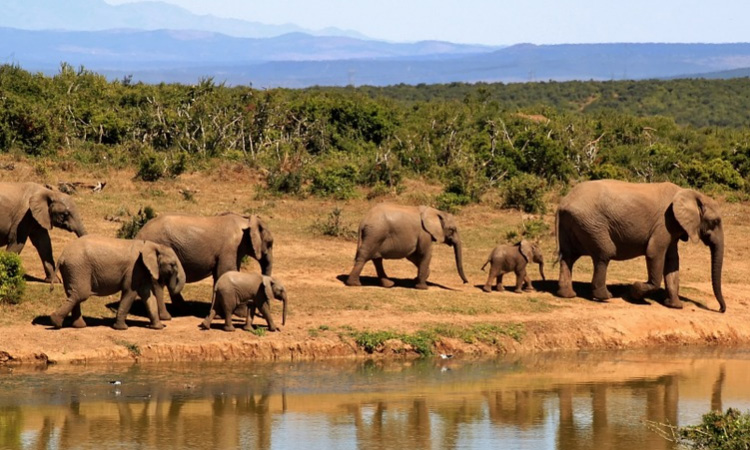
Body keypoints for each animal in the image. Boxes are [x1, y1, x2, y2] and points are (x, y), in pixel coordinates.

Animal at [50, 236, 187, 330]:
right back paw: (55, 322)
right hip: (78, 268)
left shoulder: (141, 270)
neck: (152, 245)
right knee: (80, 294)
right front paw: (122, 328)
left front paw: (158, 328)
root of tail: (62, 256)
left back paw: (79, 326)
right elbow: (130, 292)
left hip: (72, 270)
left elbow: (148, 296)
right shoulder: (134, 269)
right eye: (172, 265)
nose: (166, 324)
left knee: (74, 294)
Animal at [137, 212, 274, 320]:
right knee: (158, 282)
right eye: (270, 243)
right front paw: (240, 314)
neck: (246, 220)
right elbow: (226, 271)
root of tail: (139, 233)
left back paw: (184, 309)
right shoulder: (230, 248)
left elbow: (220, 275)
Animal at [560, 179, 728, 312]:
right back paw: (605, 297)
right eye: (715, 222)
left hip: (575, 223)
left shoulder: (673, 227)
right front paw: (634, 292)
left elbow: (672, 261)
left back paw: (568, 295)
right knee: (604, 253)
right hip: (592, 224)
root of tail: (564, 202)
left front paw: (674, 306)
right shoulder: (664, 223)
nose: (720, 309)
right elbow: (654, 253)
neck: (691, 194)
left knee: (568, 257)